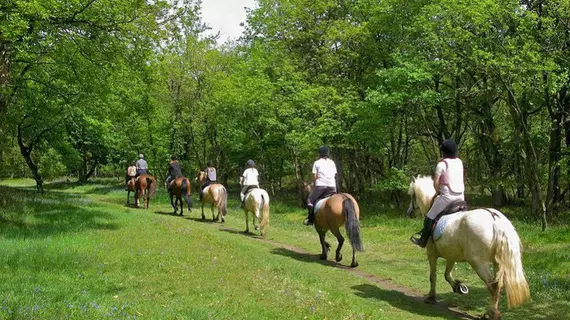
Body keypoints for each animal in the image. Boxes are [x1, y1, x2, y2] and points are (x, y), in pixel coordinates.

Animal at [406, 176, 524, 318]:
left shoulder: (431, 254)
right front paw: (459, 287)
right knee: (498, 285)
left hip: (478, 263)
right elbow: (447, 275)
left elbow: (432, 276)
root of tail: (495, 219)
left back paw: (490, 314)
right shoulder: (451, 256)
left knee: (492, 286)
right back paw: (492, 312)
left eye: (412, 196)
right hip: (498, 263)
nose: (409, 213)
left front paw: (431, 297)